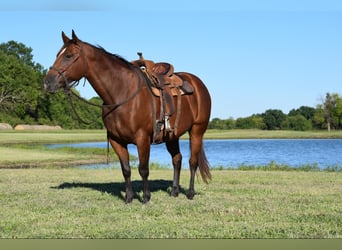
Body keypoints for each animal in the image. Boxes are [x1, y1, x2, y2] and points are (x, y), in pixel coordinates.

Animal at [43, 30, 211, 203]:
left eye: (68, 55)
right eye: (58, 54)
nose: (47, 82)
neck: (122, 93)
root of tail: (197, 83)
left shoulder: (142, 139)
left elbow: (143, 169)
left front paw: (145, 197)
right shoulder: (116, 140)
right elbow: (126, 169)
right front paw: (129, 197)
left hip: (197, 131)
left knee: (193, 162)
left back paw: (190, 193)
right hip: (172, 136)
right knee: (177, 160)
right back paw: (174, 191)